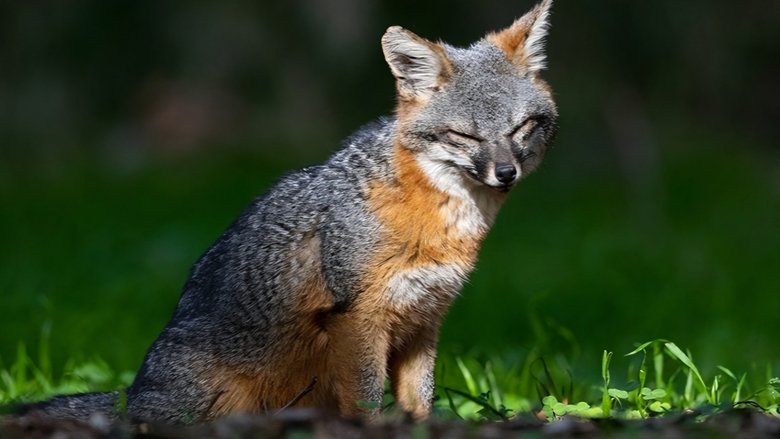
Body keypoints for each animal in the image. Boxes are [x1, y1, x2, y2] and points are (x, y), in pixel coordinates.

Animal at [20, 0, 557, 424]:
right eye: (464, 135)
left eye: (521, 127)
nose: (506, 173)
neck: (439, 218)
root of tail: (131, 397)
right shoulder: (359, 317)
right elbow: (367, 402)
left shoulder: (424, 319)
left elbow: (419, 404)